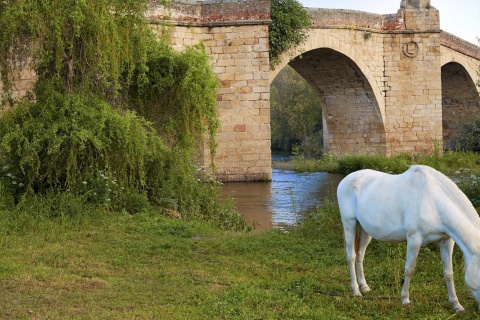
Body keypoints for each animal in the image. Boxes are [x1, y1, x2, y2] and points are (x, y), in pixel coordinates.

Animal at [336, 165, 480, 312]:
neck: (432, 201)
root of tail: (346, 179)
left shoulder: (446, 241)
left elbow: (449, 273)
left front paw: (456, 305)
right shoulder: (414, 239)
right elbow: (409, 269)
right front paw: (405, 299)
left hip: (365, 231)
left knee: (360, 255)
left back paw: (364, 287)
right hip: (349, 223)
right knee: (351, 256)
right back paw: (356, 291)